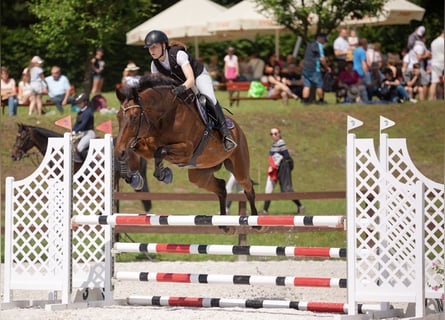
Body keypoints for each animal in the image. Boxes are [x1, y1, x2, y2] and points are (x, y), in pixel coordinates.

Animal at [114, 75, 258, 220]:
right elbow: (138, 150)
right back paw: (223, 222)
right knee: (221, 187)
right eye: (118, 117)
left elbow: (161, 151)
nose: (118, 152)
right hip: (199, 175)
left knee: (248, 188)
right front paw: (133, 178)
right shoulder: (147, 149)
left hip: (239, 168)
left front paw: (164, 175)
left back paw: (255, 219)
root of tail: (238, 129)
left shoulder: (186, 149)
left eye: (134, 117)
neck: (165, 118)